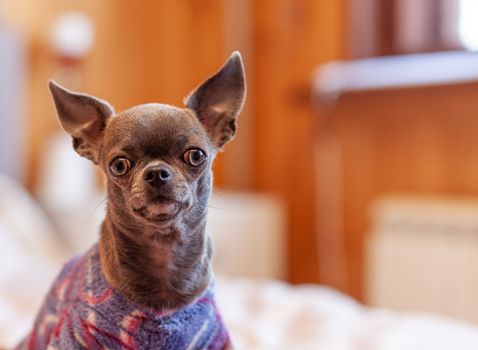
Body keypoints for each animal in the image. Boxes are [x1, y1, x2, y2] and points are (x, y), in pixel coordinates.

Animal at [16, 52, 245, 350]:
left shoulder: (214, 339)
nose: (157, 172)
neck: (163, 251)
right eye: (119, 165)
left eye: (196, 156)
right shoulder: (73, 339)